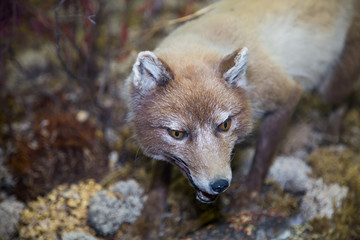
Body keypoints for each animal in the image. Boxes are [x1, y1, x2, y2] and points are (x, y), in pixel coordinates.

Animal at [124, 0, 360, 217]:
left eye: (225, 125)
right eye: (177, 134)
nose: (220, 184)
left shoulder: (287, 93)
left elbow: (262, 157)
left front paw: (248, 196)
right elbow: (160, 171)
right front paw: (152, 211)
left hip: (329, 90)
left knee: (345, 99)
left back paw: (332, 132)